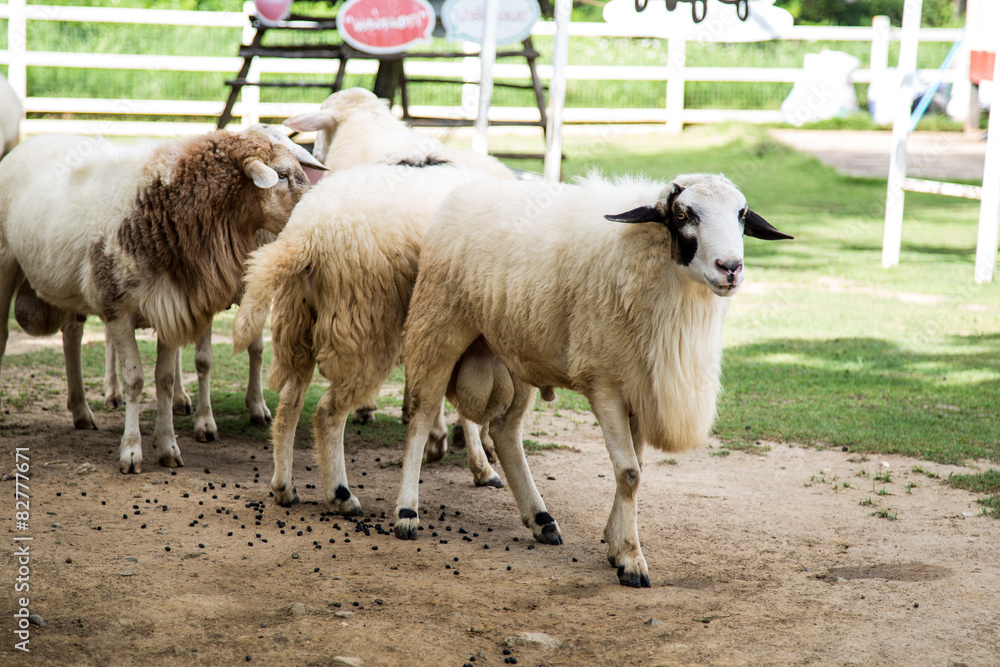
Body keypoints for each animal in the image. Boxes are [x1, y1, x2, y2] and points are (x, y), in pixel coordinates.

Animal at [0, 126, 324, 473]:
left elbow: (165, 380)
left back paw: (81, 411)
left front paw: (168, 446)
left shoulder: (172, 304)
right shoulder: (117, 308)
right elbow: (135, 379)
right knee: (5, 336)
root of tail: (29, 142)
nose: (316, 214)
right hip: (7, 261)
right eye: (282, 175)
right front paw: (131, 450)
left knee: (71, 337)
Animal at [232, 157, 509, 514]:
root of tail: (307, 232)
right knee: (327, 413)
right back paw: (341, 496)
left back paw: (284, 487)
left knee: (289, 404)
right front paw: (478, 463)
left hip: (299, 322)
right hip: (365, 327)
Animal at [391, 172, 792, 587]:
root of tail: (467, 189)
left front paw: (615, 544)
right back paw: (407, 513)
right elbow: (629, 473)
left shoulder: (639, 388)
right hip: (438, 326)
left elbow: (636, 468)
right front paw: (631, 559)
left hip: (515, 353)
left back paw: (541, 520)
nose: (730, 267)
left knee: (505, 431)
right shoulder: (607, 387)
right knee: (422, 416)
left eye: (741, 214)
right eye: (683, 214)